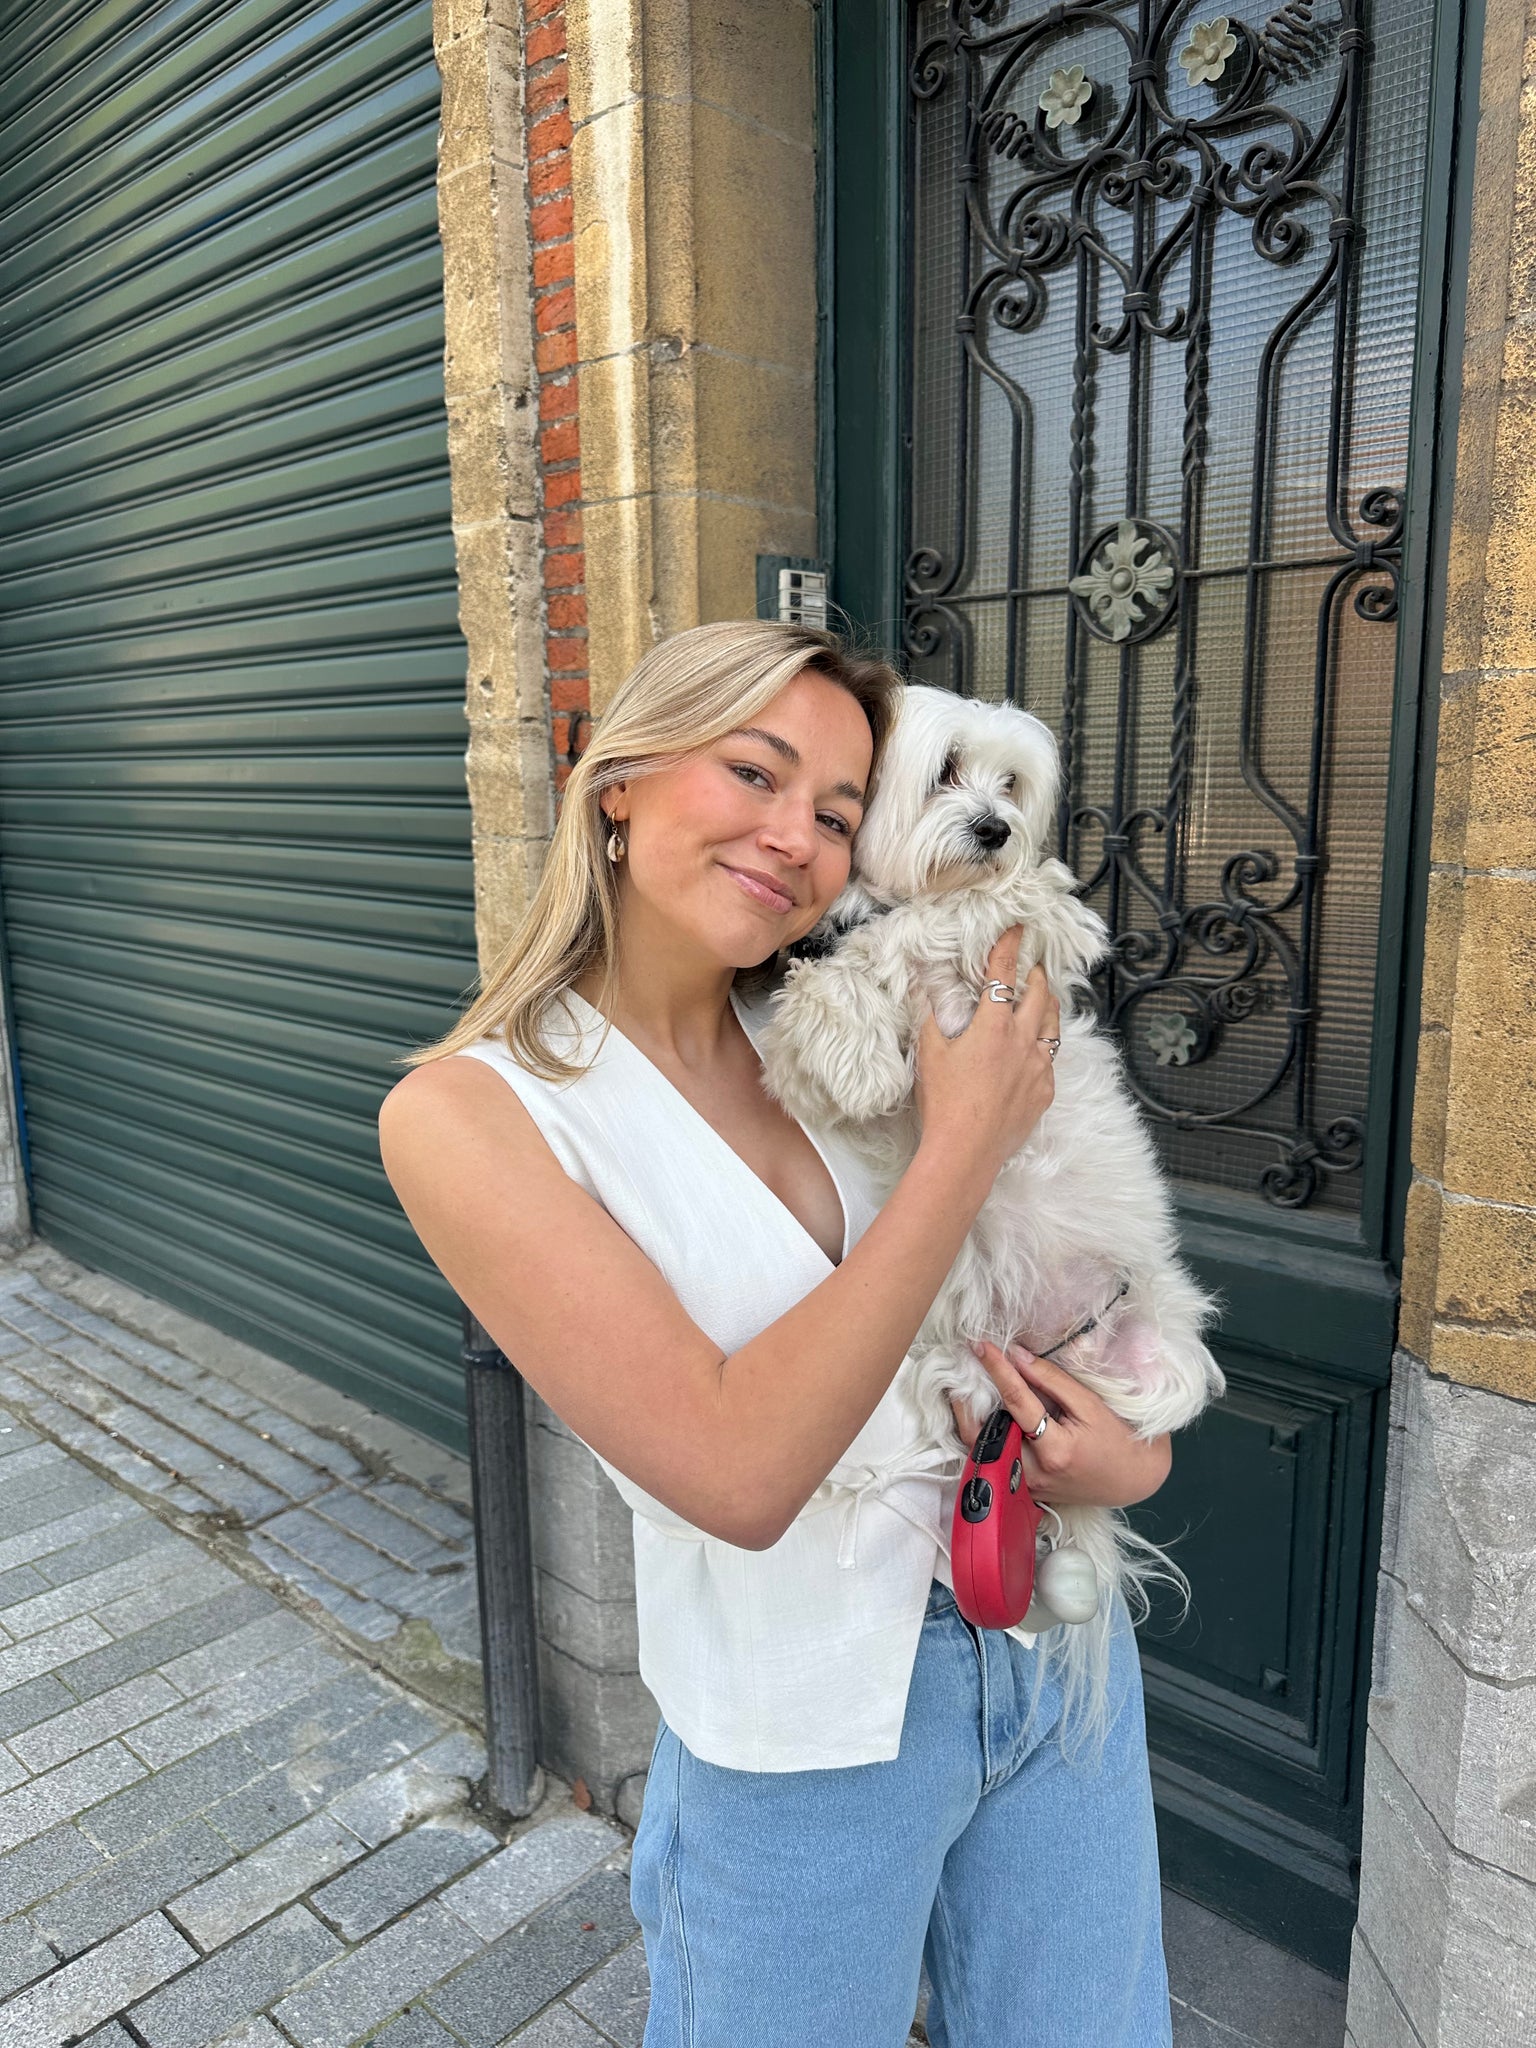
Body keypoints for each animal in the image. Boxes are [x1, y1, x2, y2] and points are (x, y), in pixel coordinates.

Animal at [756, 683, 1226, 1757]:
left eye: (1010, 785)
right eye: (945, 771)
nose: (993, 828)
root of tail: (1057, 1350)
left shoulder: (1037, 922)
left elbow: (973, 909)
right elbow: (836, 999)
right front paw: (853, 1037)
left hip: (1158, 1356)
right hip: (963, 1334)